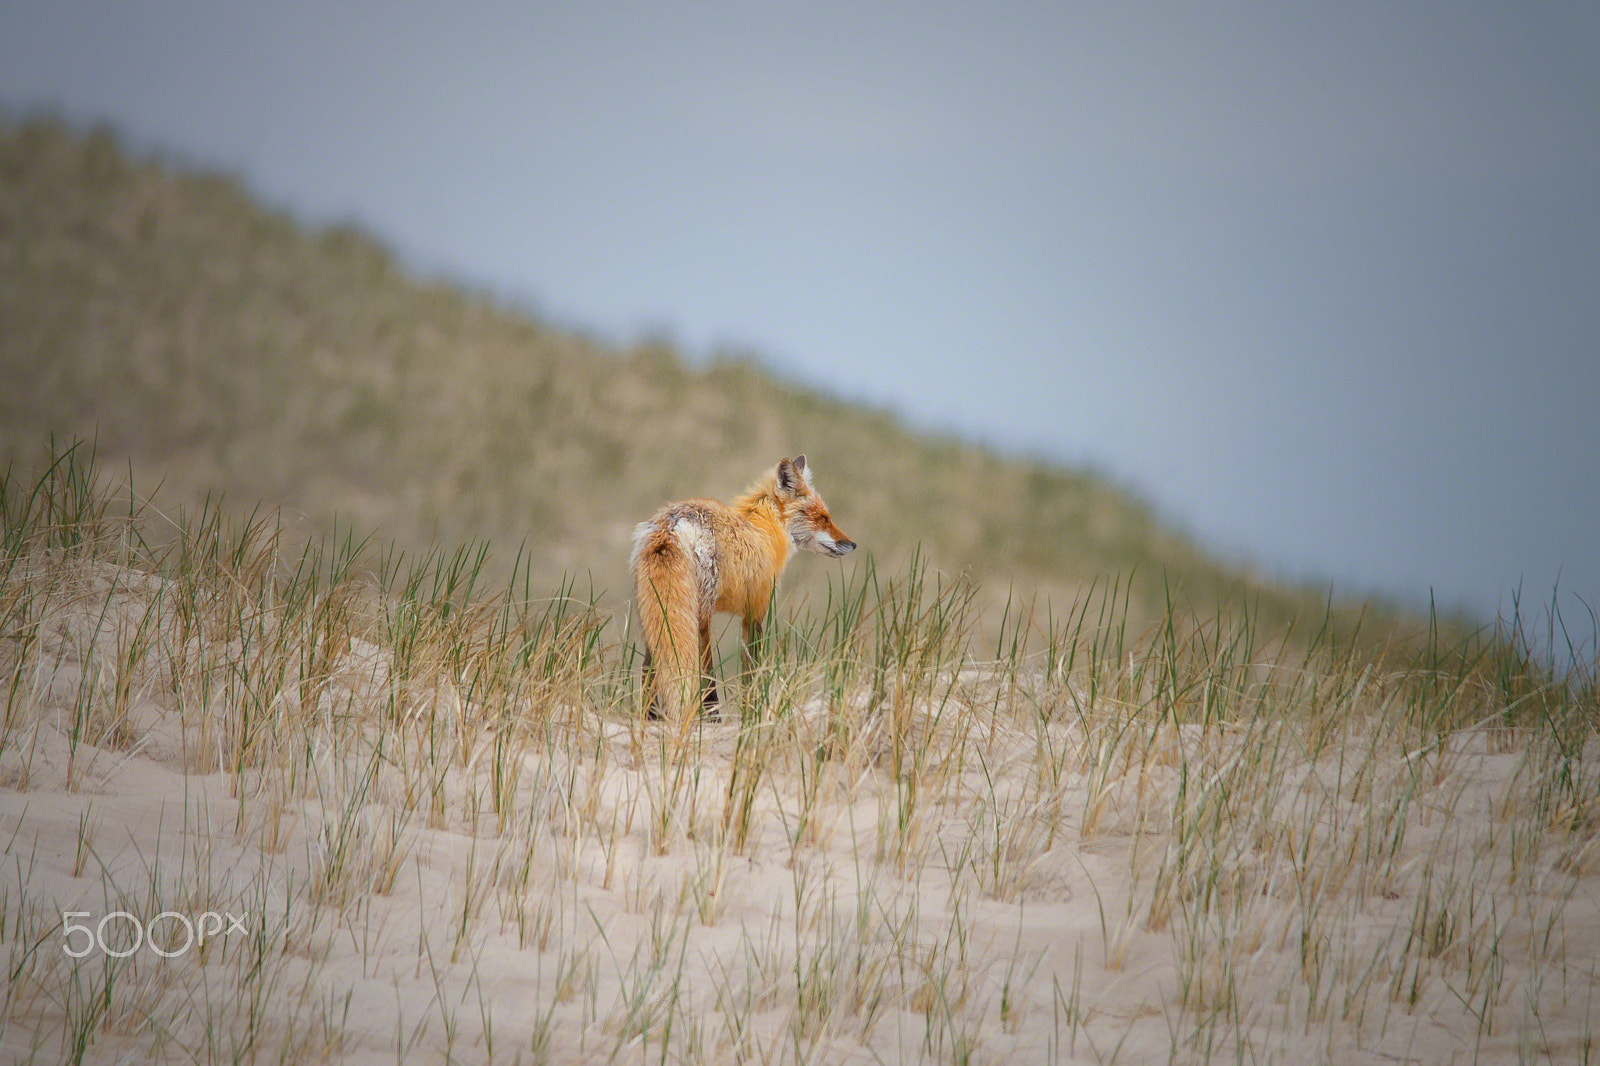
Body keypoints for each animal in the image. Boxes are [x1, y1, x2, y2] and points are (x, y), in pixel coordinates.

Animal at [630, 451, 857, 717]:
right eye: (824, 518)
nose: (852, 544)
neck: (765, 530)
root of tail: (672, 521)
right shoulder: (756, 610)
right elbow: (751, 675)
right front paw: (753, 713)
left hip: (655, 612)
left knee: (649, 668)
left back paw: (649, 718)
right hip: (699, 614)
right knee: (705, 671)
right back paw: (712, 715)